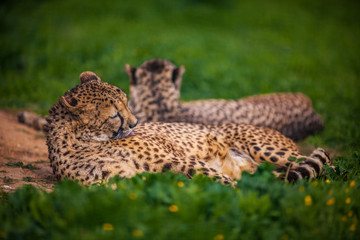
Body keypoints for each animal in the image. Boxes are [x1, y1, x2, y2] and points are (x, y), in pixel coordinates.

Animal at [45, 70, 332, 185]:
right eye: (115, 114)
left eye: (127, 102)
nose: (136, 123)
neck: (85, 141)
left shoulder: (176, 159)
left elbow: (219, 179)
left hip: (263, 147)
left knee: (327, 166)